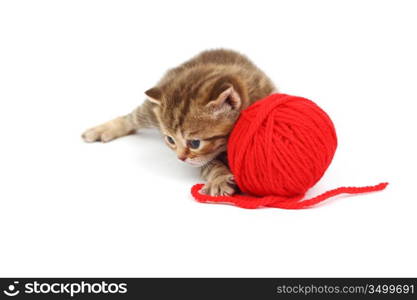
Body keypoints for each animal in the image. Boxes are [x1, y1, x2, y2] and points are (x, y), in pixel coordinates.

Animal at [82, 49, 274, 197]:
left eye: (194, 143)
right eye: (170, 140)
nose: (180, 158)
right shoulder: (202, 160)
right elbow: (211, 166)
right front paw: (219, 178)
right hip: (150, 112)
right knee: (131, 118)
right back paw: (102, 130)